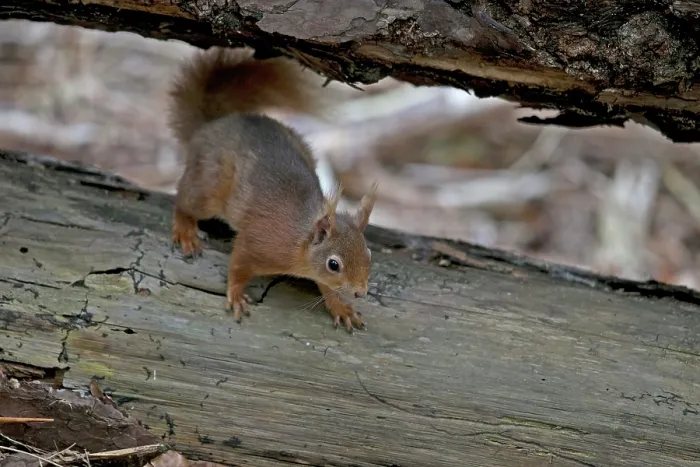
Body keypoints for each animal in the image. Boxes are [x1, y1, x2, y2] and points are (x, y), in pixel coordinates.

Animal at [167, 46, 377, 332]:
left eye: (368, 254)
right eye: (334, 264)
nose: (360, 292)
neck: (300, 242)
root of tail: (210, 126)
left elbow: (327, 288)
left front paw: (340, 307)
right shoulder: (257, 242)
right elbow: (238, 266)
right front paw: (236, 295)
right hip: (208, 187)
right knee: (184, 200)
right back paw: (186, 231)